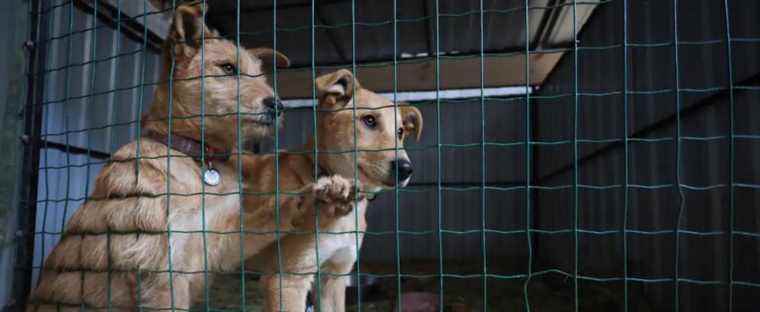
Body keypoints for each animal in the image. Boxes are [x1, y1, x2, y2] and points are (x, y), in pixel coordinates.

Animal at [24, 3, 348, 312]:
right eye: (227, 68)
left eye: (260, 77)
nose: (278, 106)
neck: (197, 156)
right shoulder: (163, 273)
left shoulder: (218, 242)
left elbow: (267, 215)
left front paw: (316, 198)